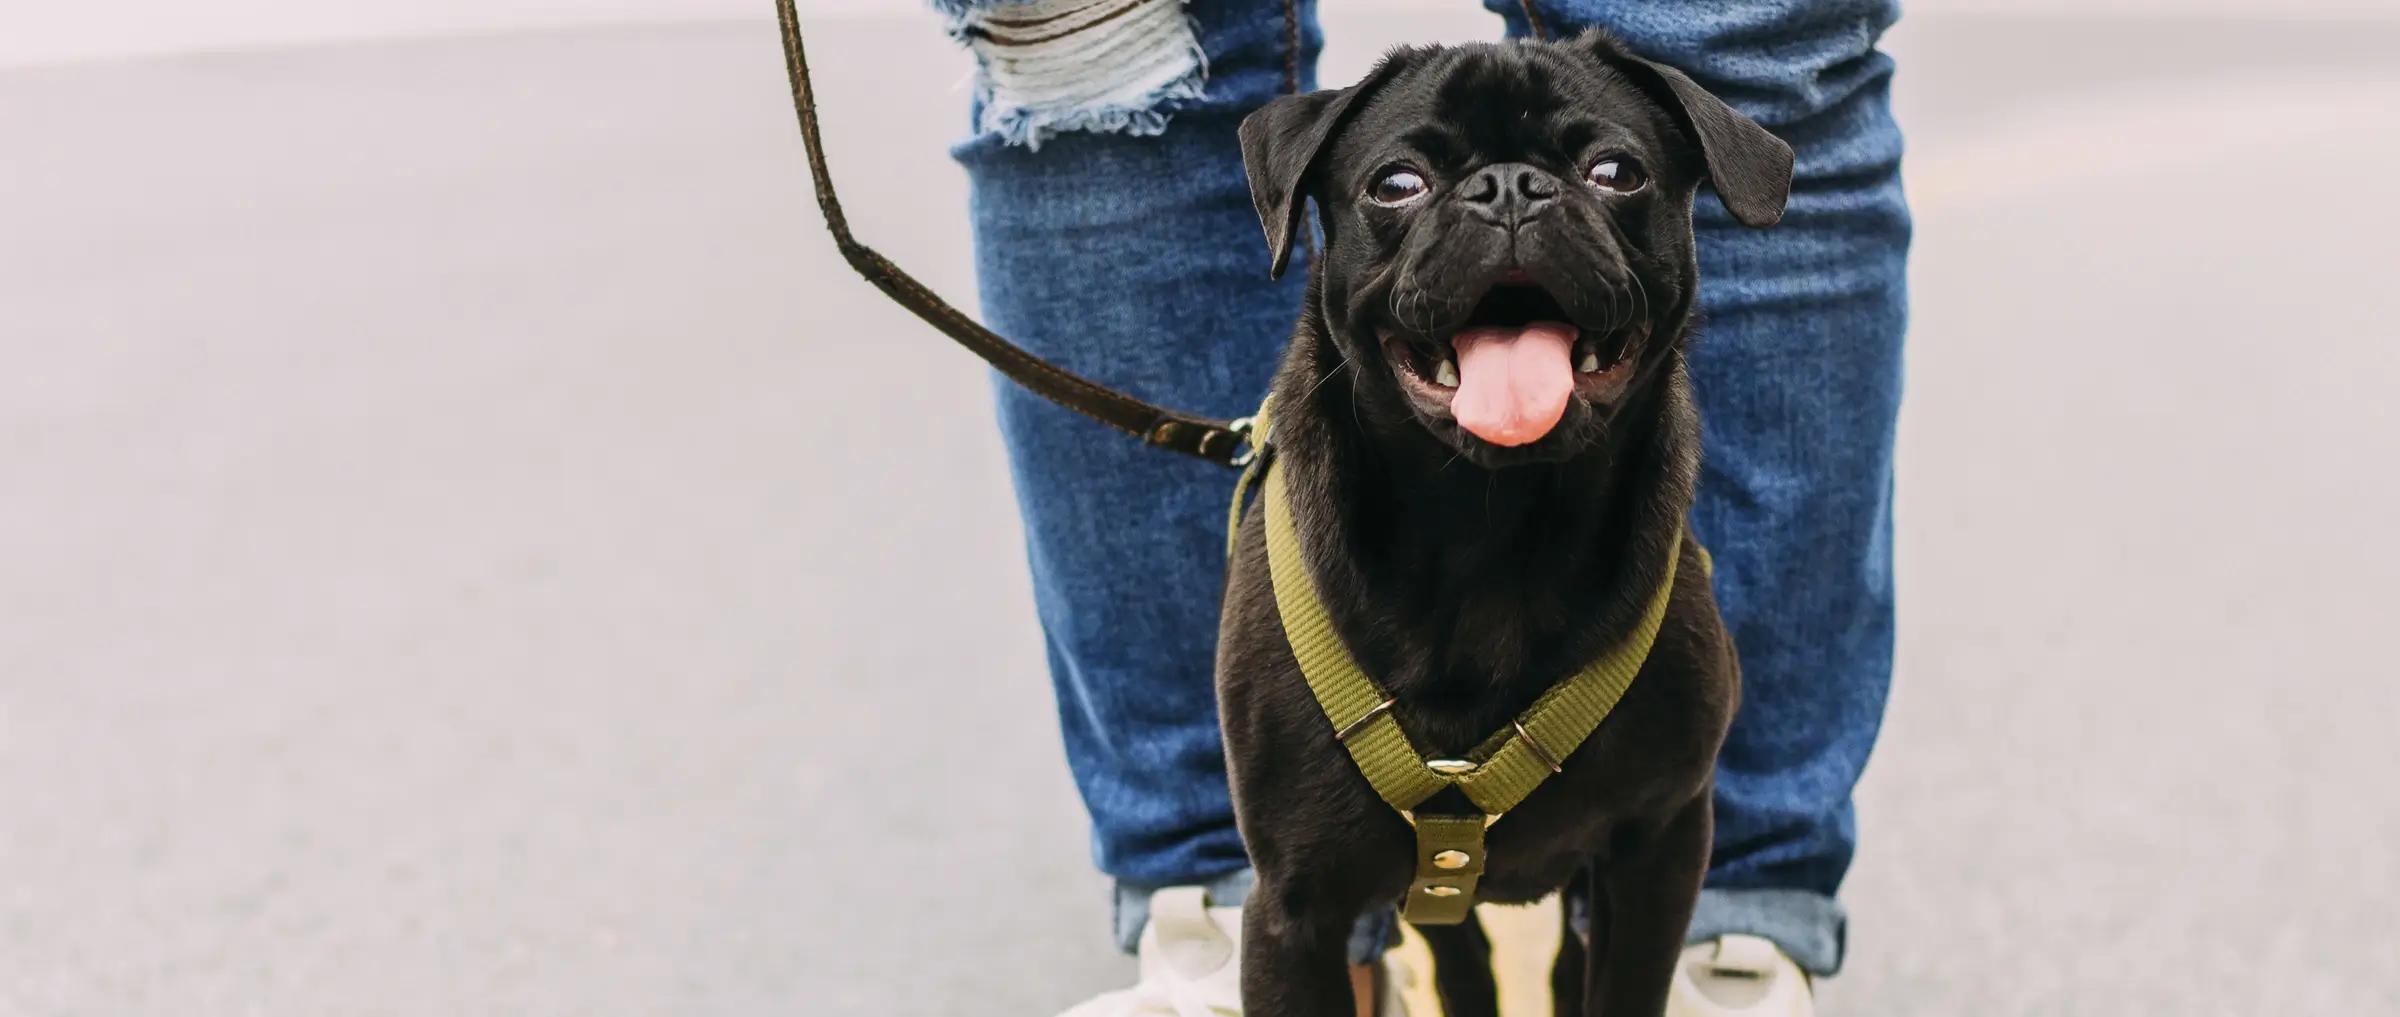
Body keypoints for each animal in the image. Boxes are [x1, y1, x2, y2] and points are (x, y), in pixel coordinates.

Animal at [1228, 27, 1795, 1017]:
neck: (1490, 529)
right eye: (1397, 183)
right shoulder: (1290, 912)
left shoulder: (1661, 846)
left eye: (1617, 172)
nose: (1508, 187)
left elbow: (1618, 986)